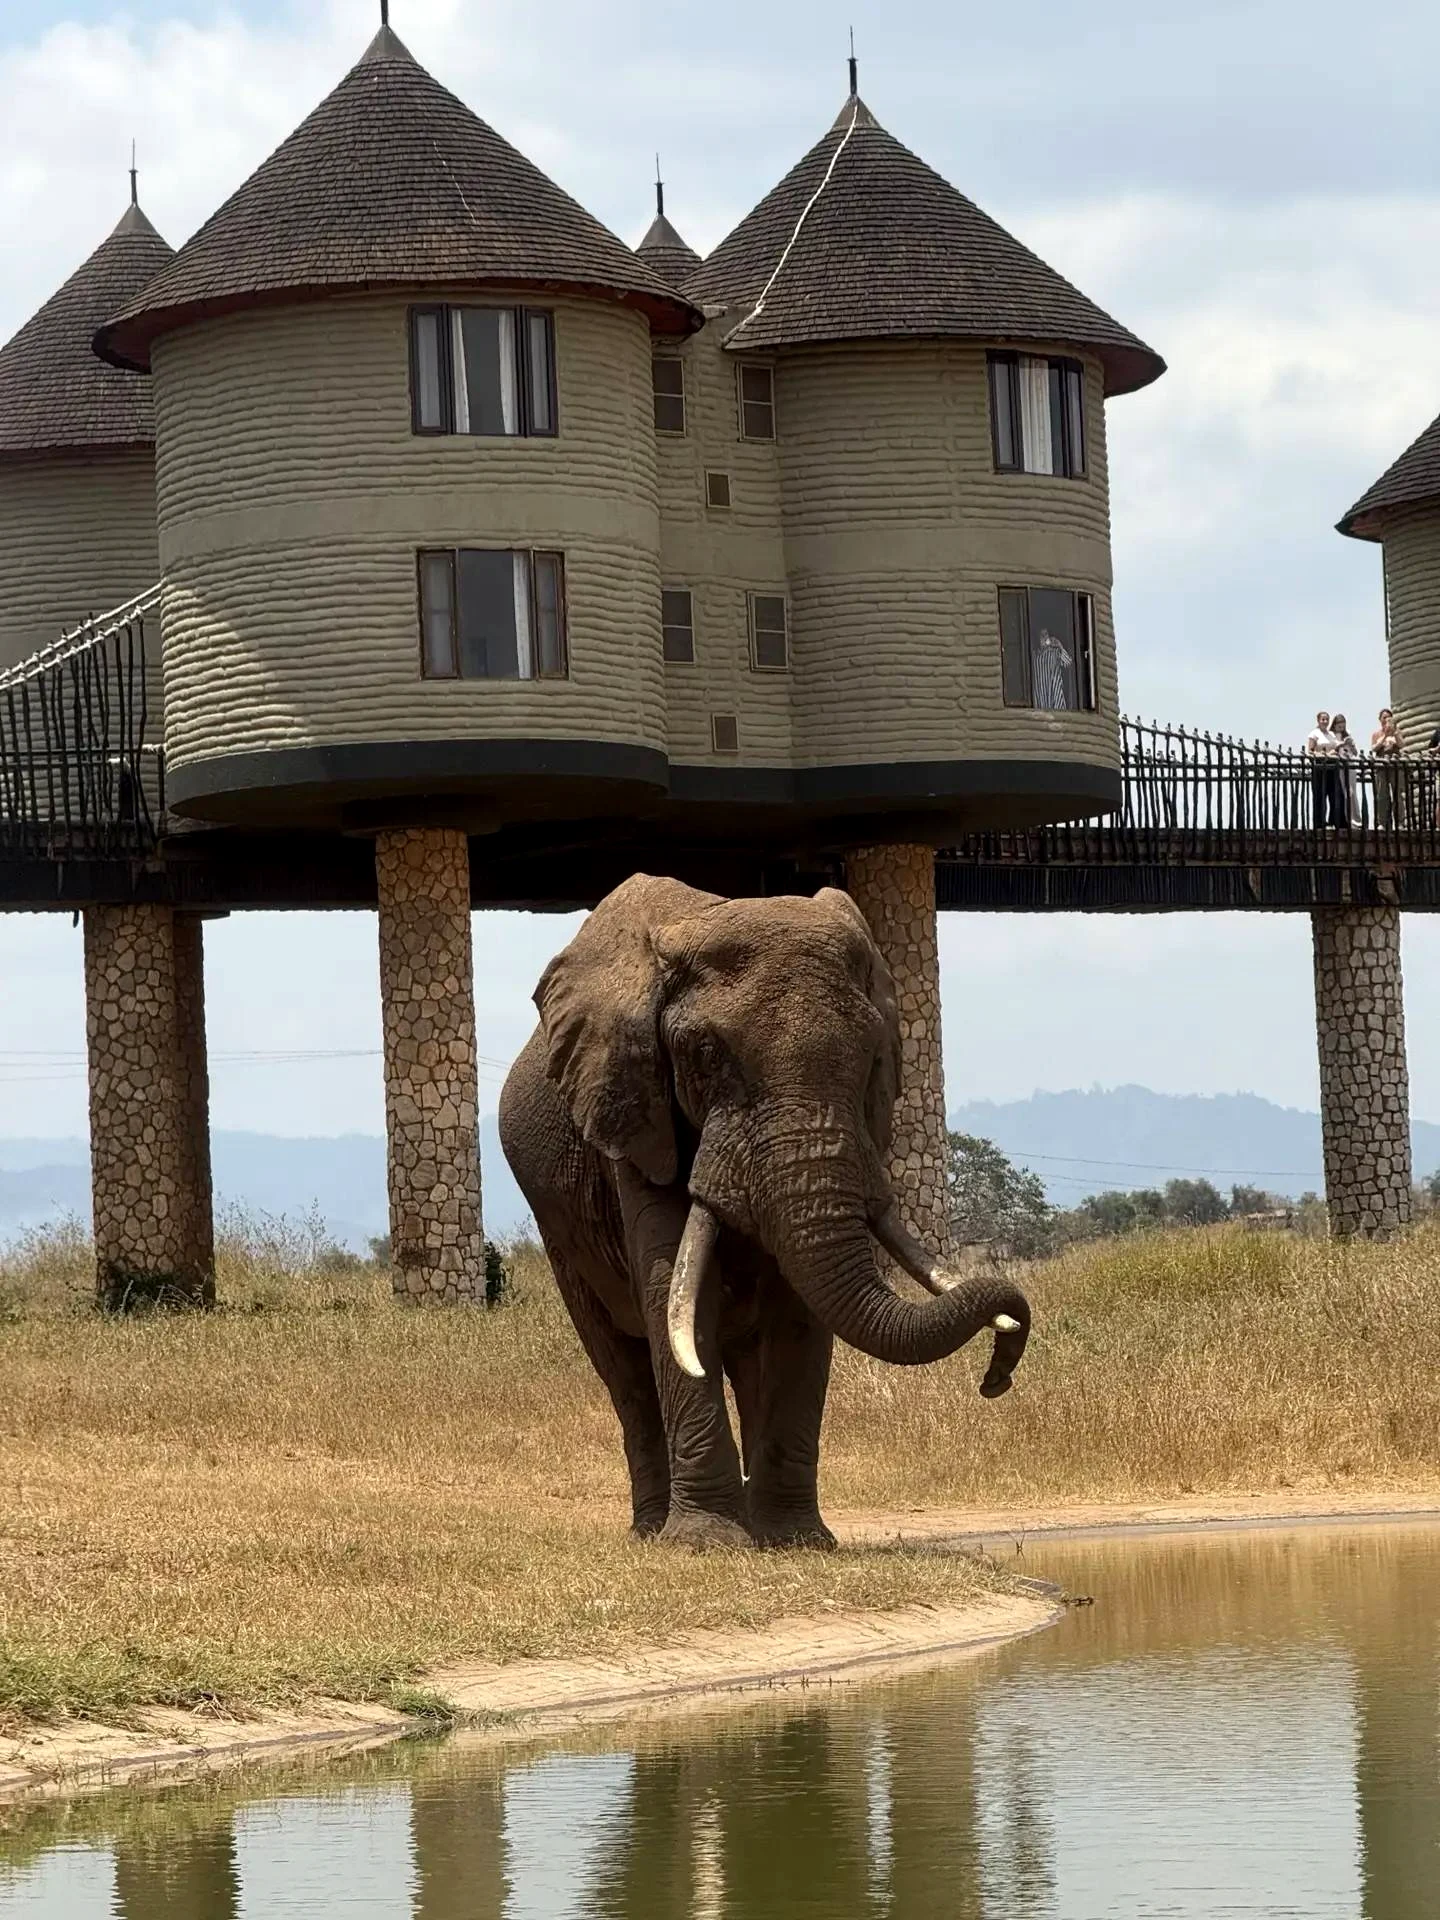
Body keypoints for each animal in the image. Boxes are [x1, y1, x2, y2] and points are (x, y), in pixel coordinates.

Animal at [498, 874, 1029, 1550]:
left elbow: (801, 1313)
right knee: (625, 1372)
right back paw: (652, 1531)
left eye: (873, 1057)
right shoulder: (633, 1112)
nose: (996, 1378)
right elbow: (672, 1290)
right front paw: (705, 1545)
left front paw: (798, 1541)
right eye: (703, 1053)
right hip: (559, 1228)